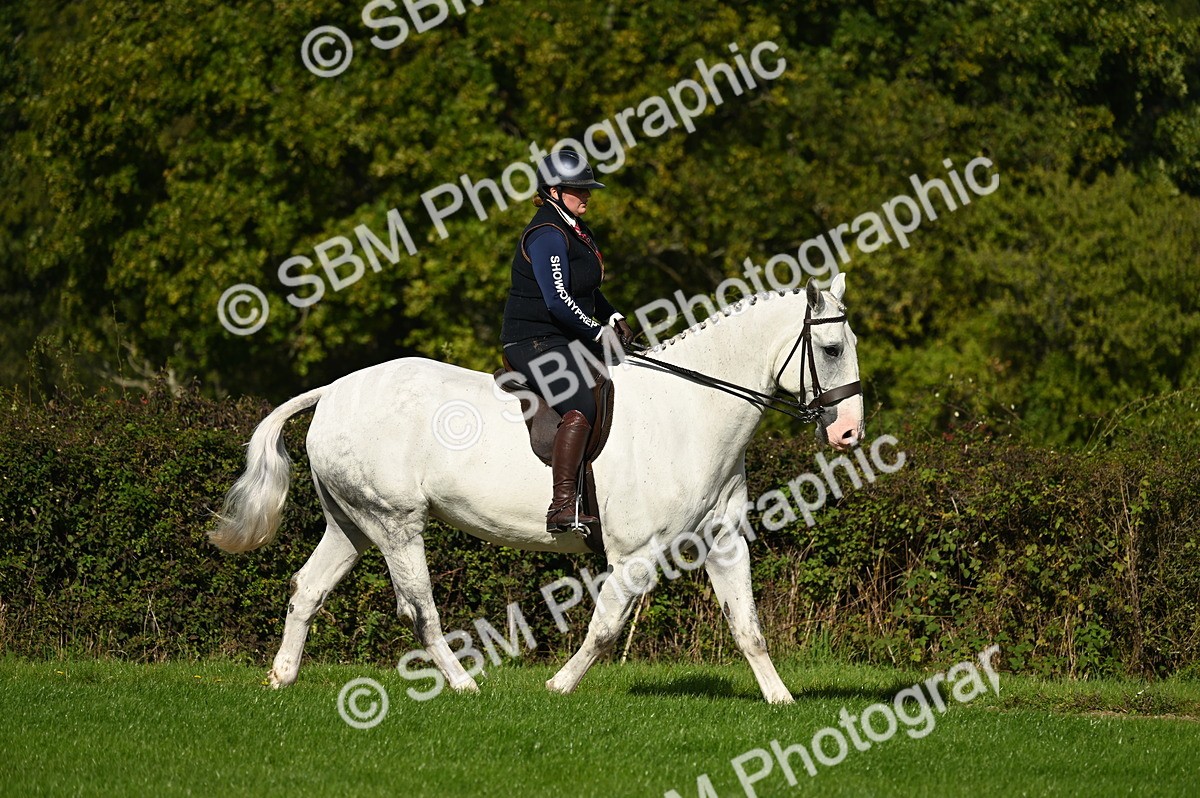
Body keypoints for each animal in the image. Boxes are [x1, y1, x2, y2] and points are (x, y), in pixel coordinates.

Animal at [209, 274, 863, 704]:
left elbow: (747, 626)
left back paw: (281, 678)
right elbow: (605, 628)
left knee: (308, 588)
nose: (849, 433)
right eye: (831, 349)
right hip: (395, 523)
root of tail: (335, 390)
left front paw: (780, 701)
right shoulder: (635, 553)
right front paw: (558, 686)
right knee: (418, 609)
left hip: (351, 525)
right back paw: (465, 685)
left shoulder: (724, 542)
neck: (691, 409)